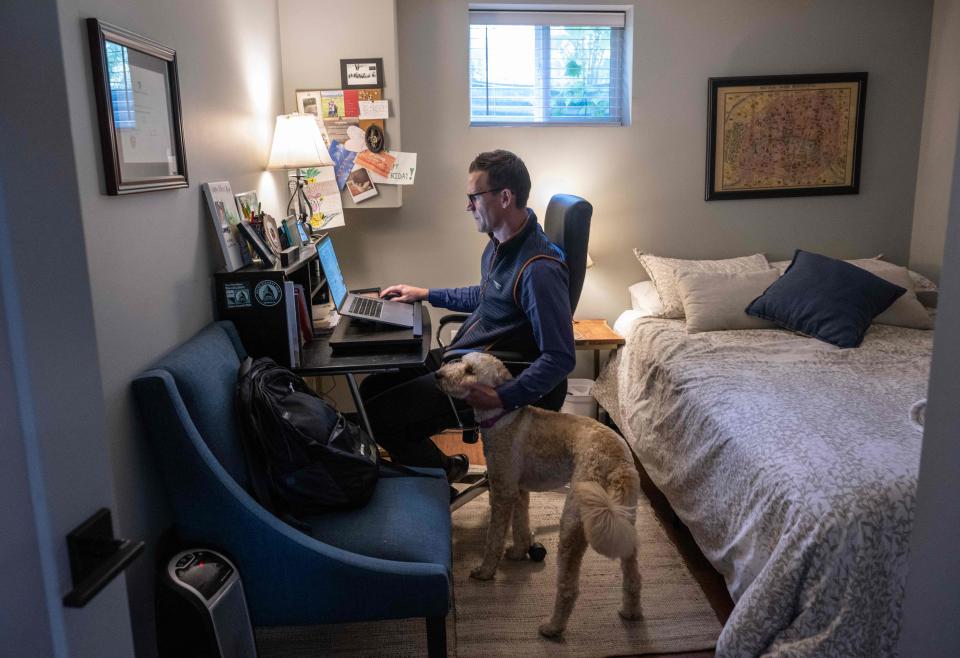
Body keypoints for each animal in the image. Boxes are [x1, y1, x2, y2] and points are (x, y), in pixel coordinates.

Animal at [436, 354, 644, 636]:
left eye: (470, 370)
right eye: (460, 361)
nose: (437, 375)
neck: (504, 417)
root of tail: (618, 462)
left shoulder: (502, 491)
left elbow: (494, 539)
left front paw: (485, 571)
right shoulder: (519, 490)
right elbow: (521, 525)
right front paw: (519, 552)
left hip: (573, 523)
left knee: (568, 588)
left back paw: (553, 627)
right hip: (625, 520)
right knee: (633, 576)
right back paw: (630, 612)